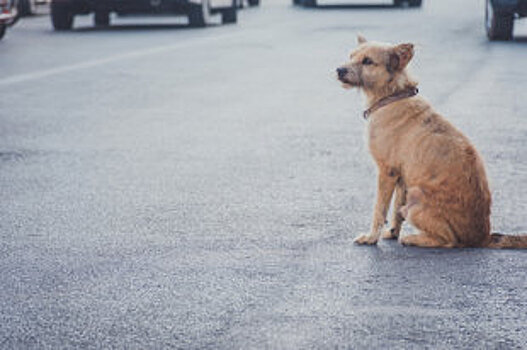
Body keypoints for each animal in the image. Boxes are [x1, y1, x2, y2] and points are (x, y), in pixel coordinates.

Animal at [338, 35, 527, 247]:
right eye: (351, 56)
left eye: (368, 61)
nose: (339, 70)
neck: (392, 95)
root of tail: (483, 236)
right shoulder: (402, 178)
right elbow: (395, 211)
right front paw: (392, 232)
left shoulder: (387, 172)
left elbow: (379, 210)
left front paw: (371, 237)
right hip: (411, 191)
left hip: (416, 196)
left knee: (449, 241)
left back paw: (414, 239)